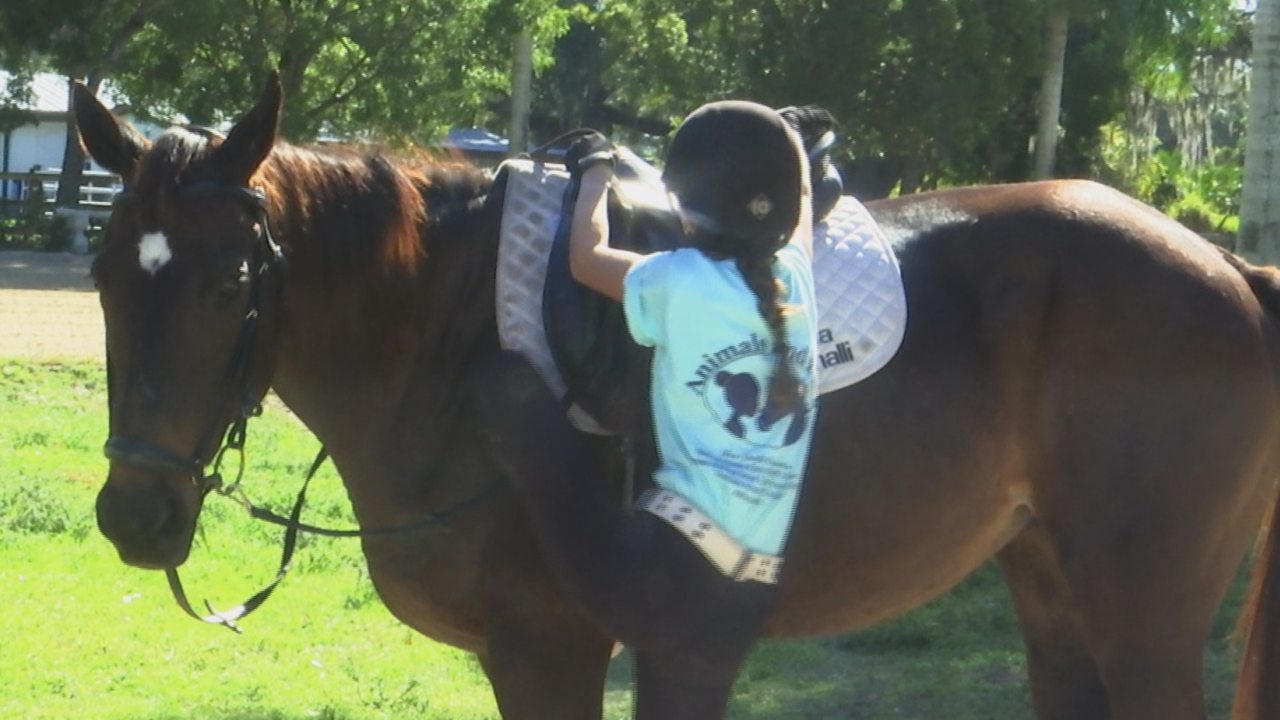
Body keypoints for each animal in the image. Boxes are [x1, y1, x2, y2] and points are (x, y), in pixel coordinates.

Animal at [74, 74, 1280, 717]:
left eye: (228, 284)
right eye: (100, 272)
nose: (134, 517)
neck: (453, 334)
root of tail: (1226, 268)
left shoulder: (552, 652)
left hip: (1144, 617)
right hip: (1052, 595)